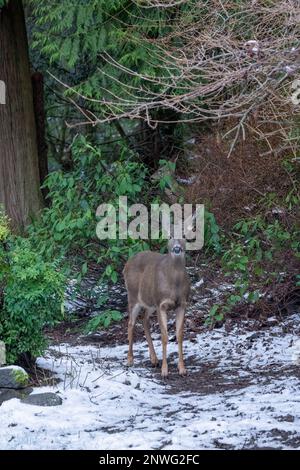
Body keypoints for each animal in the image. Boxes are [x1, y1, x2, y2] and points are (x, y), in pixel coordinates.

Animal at [123, 239, 191, 378]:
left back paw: (154, 359)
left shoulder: (182, 305)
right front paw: (165, 371)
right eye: (170, 236)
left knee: (144, 320)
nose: (177, 248)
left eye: (184, 237)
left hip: (150, 303)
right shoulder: (161, 304)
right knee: (131, 323)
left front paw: (182, 369)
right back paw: (130, 359)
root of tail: (127, 264)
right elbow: (164, 336)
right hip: (133, 297)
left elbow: (180, 335)